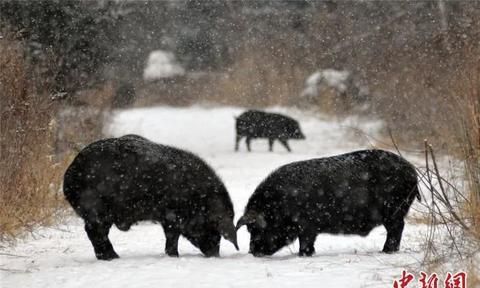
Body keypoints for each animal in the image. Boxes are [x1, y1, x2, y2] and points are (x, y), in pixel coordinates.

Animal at [63, 134, 238, 260]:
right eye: (213, 226)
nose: (215, 254)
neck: (196, 198)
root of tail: (70, 173)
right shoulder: (172, 215)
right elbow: (172, 236)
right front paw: (174, 256)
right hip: (96, 209)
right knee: (95, 232)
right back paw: (113, 257)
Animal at [236, 148, 420, 256]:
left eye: (255, 228)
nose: (252, 251)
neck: (279, 205)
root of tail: (412, 170)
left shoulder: (306, 225)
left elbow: (306, 242)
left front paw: (303, 255)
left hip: (393, 212)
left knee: (397, 229)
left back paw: (386, 251)